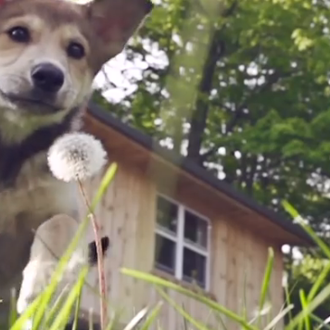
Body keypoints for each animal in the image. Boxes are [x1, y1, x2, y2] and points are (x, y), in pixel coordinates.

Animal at [0, 0, 153, 318]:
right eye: (18, 32)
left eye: (76, 50)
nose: (49, 75)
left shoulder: (64, 207)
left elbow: (59, 225)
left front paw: (44, 282)